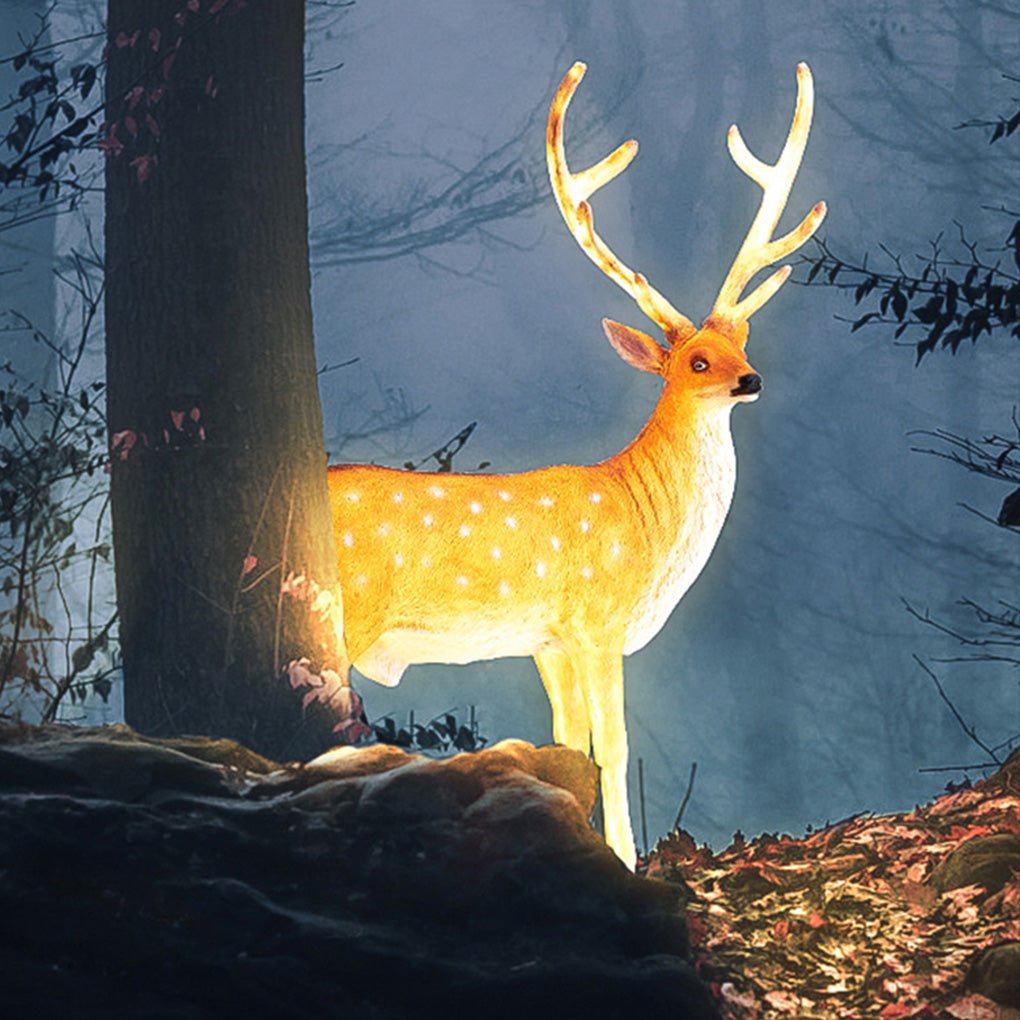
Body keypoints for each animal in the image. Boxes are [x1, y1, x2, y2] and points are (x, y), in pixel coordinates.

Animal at [326, 62, 826, 869]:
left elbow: (567, 746)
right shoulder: (598, 619)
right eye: (695, 361)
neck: (644, 523)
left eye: (743, 340)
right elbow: (613, 748)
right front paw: (626, 858)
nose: (750, 380)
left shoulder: (548, 640)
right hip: (349, 611)